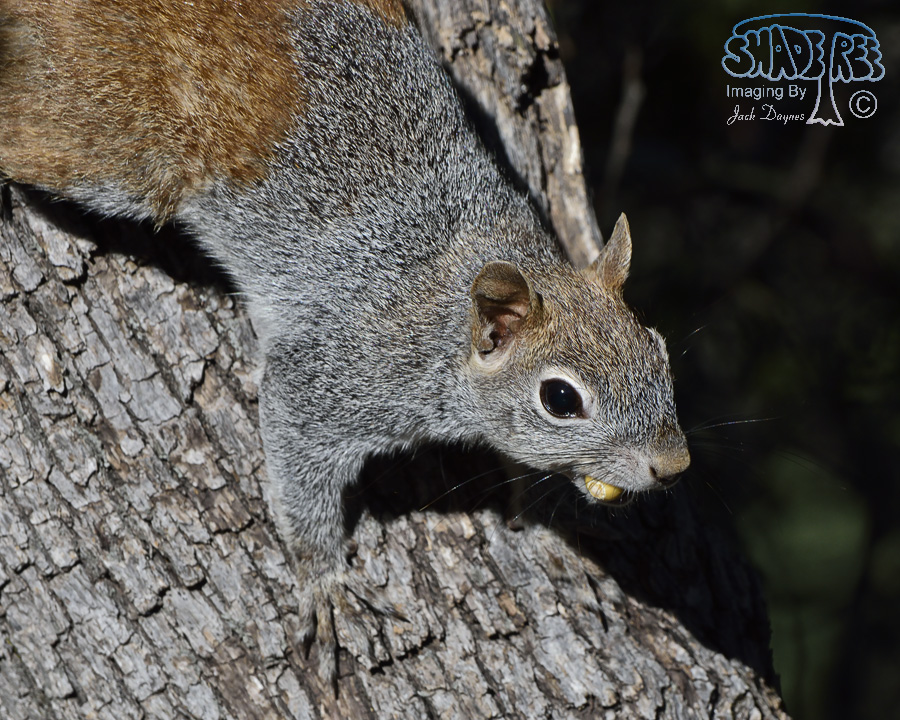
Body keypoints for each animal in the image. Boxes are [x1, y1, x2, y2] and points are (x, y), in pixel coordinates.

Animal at [0, 0, 690, 684]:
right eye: (560, 399)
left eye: (658, 350)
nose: (673, 465)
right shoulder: (335, 372)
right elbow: (297, 459)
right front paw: (323, 580)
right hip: (106, 136)